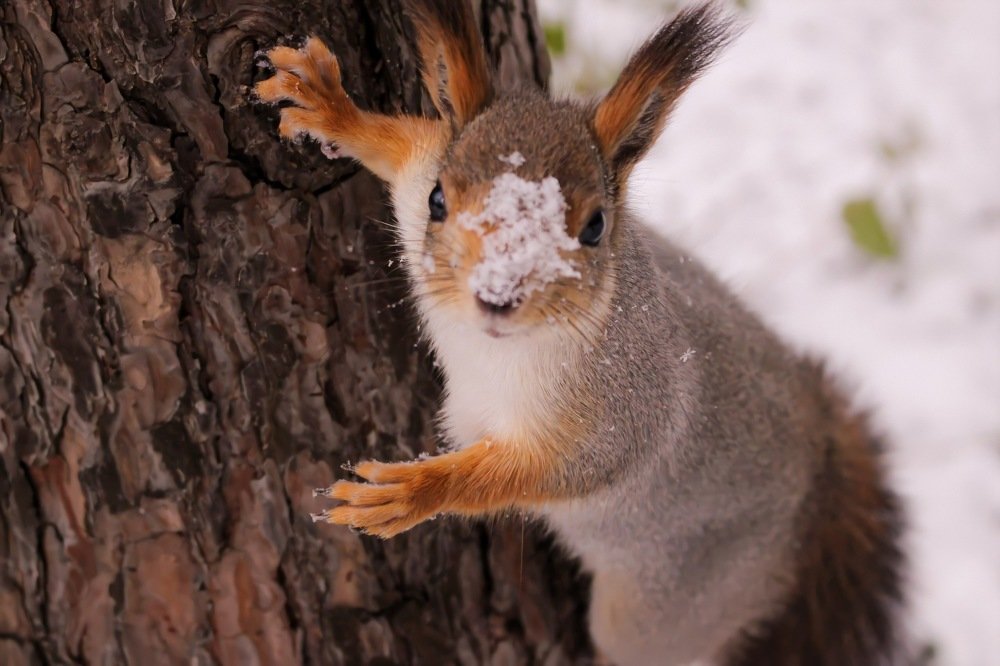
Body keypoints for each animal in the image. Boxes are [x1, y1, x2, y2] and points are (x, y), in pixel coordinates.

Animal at [255, 2, 908, 664]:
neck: (497, 348)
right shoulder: (418, 175)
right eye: (440, 200)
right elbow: (405, 146)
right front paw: (327, 105)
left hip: (666, 611)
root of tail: (817, 467)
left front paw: (415, 490)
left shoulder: (627, 411)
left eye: (595, 227)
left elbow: (542, 472)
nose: (497, 294)